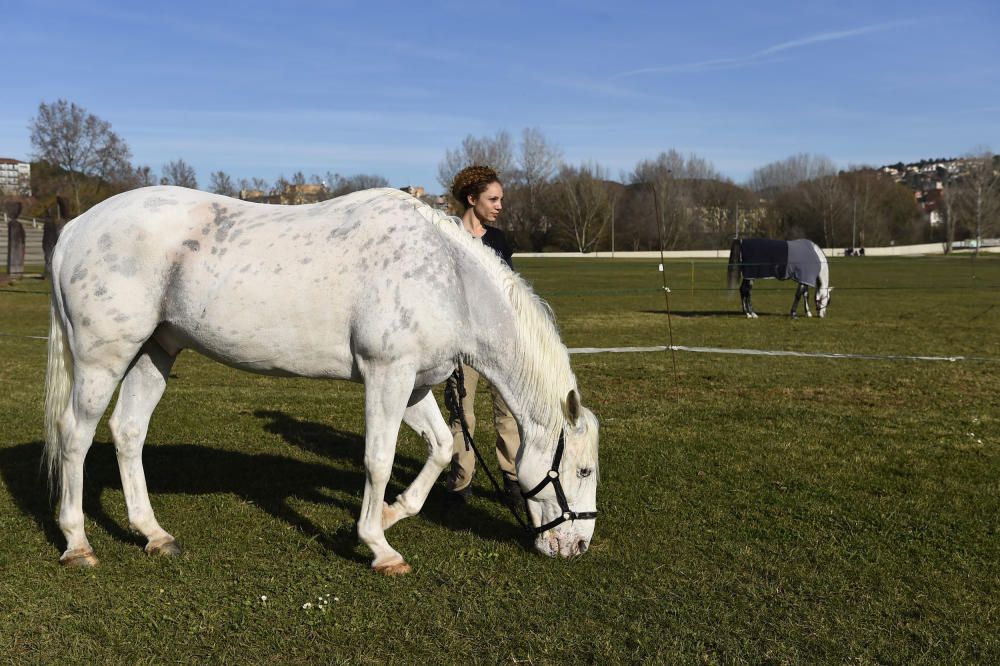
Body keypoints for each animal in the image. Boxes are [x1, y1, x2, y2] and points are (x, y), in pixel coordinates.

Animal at [43, 184, 596, 572]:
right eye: (585, 471)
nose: (576, 546)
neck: (448, 278)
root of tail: (76, 228)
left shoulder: (414, 383)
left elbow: (440, 448)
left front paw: (389, 514)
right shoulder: (386, 375)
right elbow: (378, 459)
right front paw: (379, 546)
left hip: (155, 351)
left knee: (128, 432)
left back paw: (154, 535)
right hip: (102, 358)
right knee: (76, 435)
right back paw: (77, 543)